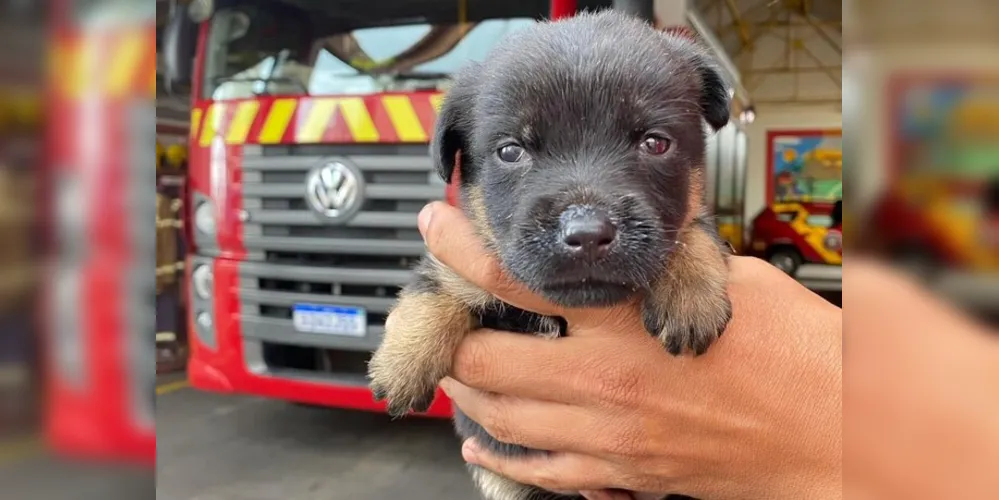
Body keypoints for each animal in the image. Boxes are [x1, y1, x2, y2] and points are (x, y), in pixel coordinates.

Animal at [368, 10, 736, 500]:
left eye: (655, 143)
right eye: (510, 151)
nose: (587, 234)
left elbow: (694, 228)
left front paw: (689, 291)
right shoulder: (462, 261)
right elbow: (434, 283)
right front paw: (403, 360)